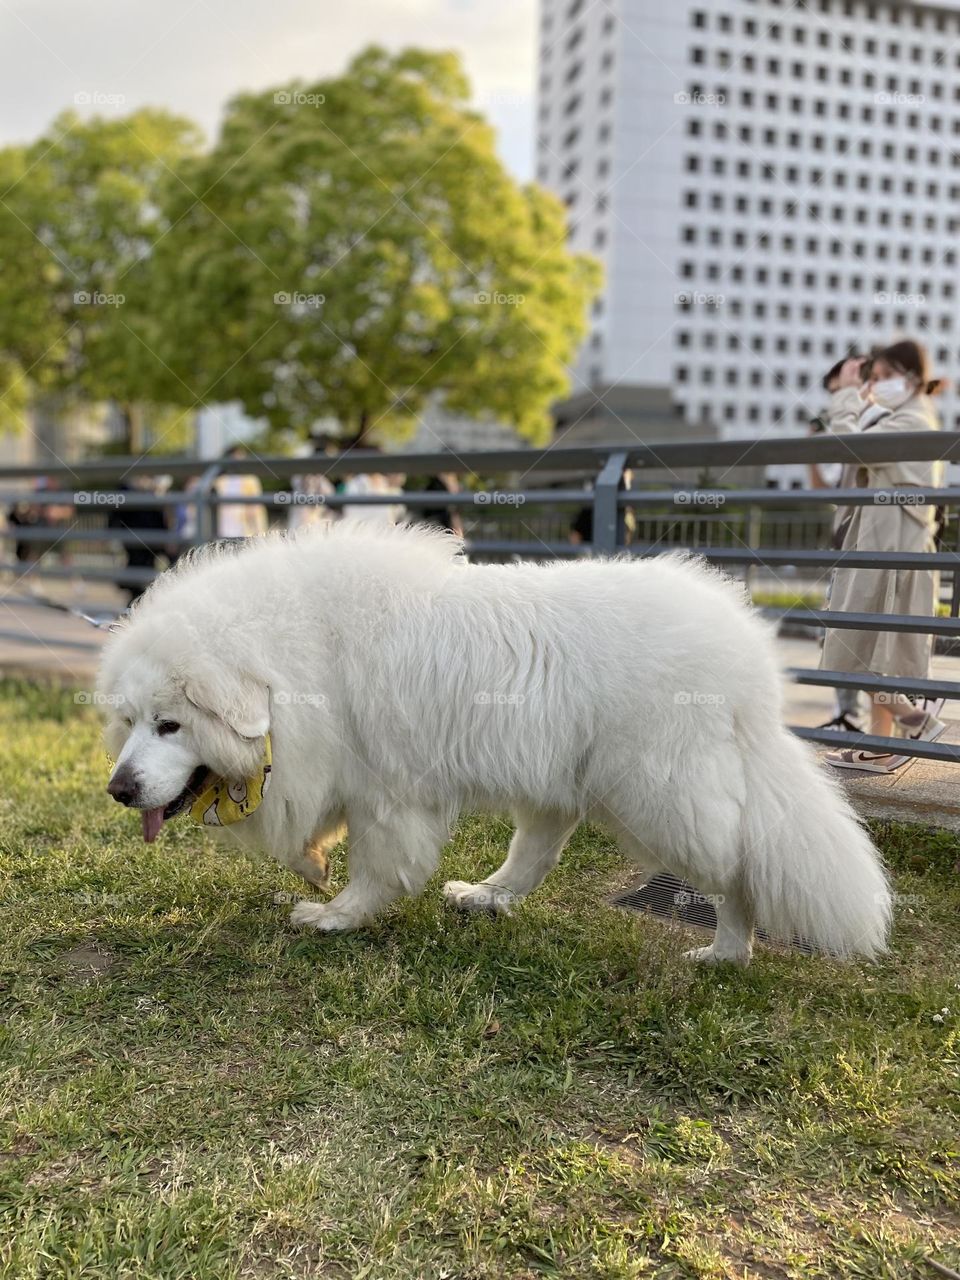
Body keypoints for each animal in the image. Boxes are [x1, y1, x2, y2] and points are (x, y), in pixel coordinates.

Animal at [99, 519, 896, 962]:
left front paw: (334, 915)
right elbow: (308, 834)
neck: (290, 657)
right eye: (130, 721)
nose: (118, 790)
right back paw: (484, 896)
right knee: (536, 853)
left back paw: (727, 952)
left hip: (660, 797)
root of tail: (749, 665)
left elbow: (376, 867)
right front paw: (314, 869)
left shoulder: (385, 793)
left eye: (171, 724)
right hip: (567, 781)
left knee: (732, 871)